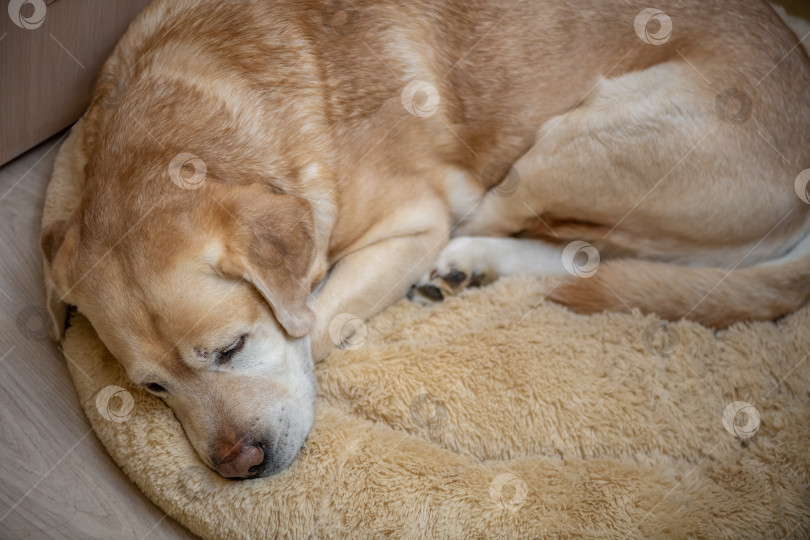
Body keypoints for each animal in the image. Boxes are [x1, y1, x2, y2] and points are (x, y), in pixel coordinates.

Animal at [42, 1, 808, 480]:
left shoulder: (412, 222)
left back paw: (466, 262)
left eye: (231, 348)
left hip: (580, 143)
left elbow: (318, 320)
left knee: (537, 231)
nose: (239, 468)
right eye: (152, 388)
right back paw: (474, 269)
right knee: (594, 252)